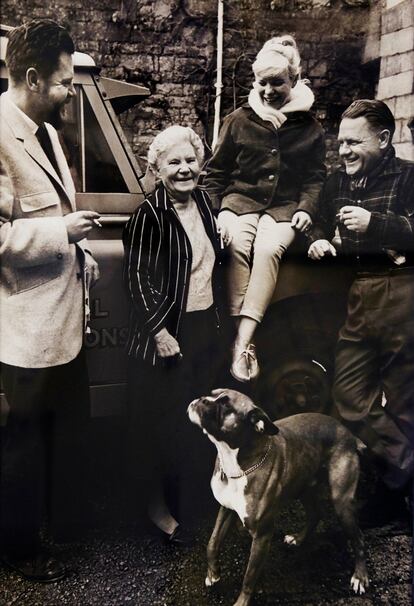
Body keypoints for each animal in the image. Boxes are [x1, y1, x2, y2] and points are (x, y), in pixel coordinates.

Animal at [188, 390, 368, 606]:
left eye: (226, 406)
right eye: (212, 394)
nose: (201, 399)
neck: (238, 464)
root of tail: (350, 435)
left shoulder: (262, 535)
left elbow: (249, 576)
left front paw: (241, 601)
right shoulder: (226, 510)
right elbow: (212, 543)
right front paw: (213, 575)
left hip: (342, 504)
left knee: (359, 539)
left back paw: (360, 576)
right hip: (304, 488)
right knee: (315, 514)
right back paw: (298, 539)